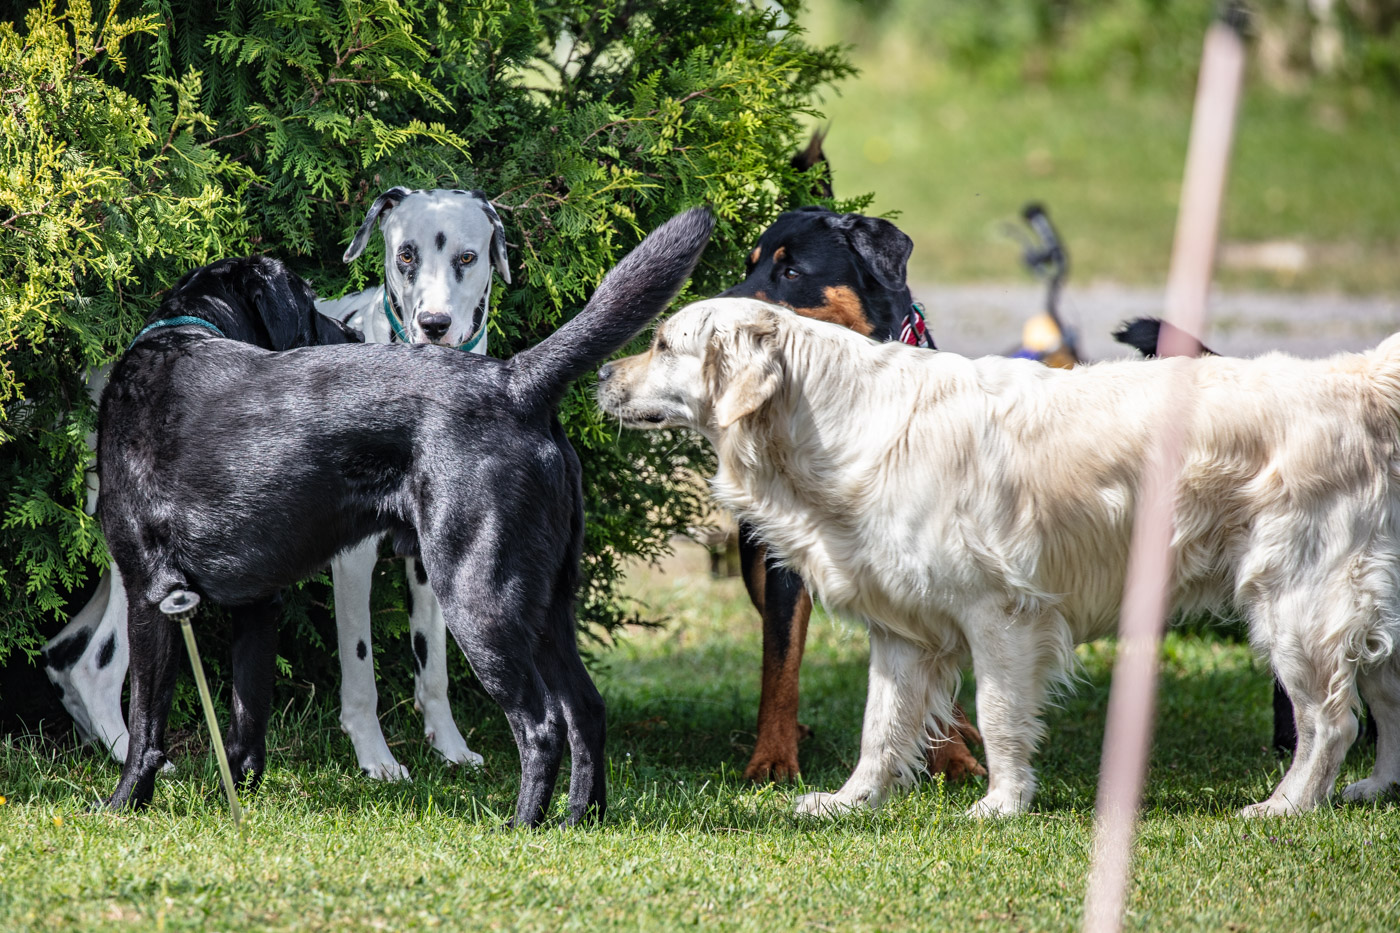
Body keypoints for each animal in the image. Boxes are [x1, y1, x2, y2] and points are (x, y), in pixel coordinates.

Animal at [100, 208, 716, 823]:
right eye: (309, 305)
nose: (352, 337)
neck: (182, 335)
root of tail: (515, 380)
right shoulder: (259, 604)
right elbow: (246, 721)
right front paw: (241, 804)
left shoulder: (151, 593)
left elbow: (145, 724)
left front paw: (122, 804)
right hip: (545, 603)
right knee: (586, 708)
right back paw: (577, 821)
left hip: (478, 596)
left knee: (542, 724)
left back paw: (520, 826)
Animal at [599, 298, 1400, 812]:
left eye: (663, 344)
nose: (603, 374)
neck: (836, 420)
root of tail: (1355, 377)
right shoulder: (901, 629)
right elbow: (880, 726)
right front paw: (849, 801)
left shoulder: (1002, 611)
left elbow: (998, 712)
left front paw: (1001, 804)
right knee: (1387, 698)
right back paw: (1376, 788)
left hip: (1295, 601)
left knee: (1332, 722)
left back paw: (1284, 807)